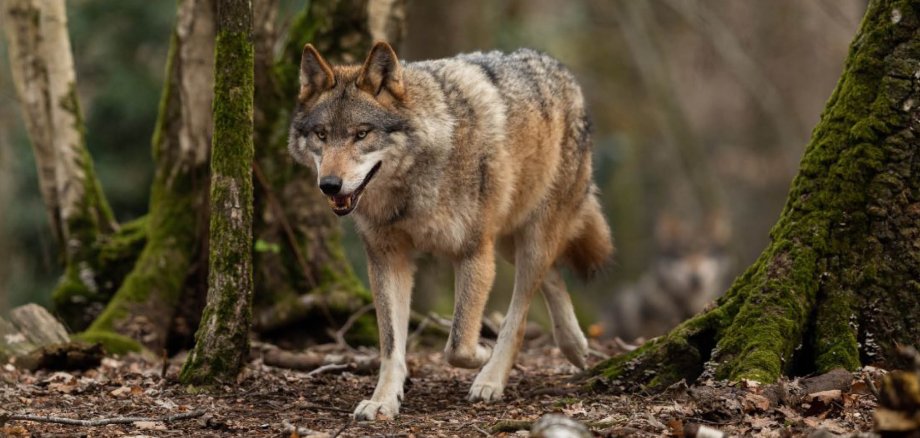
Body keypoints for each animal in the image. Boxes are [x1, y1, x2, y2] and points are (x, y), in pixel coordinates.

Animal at [288, 41, 613, 421]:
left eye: (361, 134)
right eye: (322, 135)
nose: (329, 185)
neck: (411, 187)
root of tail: (558, 68)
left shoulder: (474, 252)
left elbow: (457, 344)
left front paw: (482, 354)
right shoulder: (387, 259)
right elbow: (391, 345)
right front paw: (383, 401)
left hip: (527, 238)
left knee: (520, 312)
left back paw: (492, 378)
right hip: (507, 239)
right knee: (551, 276)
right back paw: (574, 345)